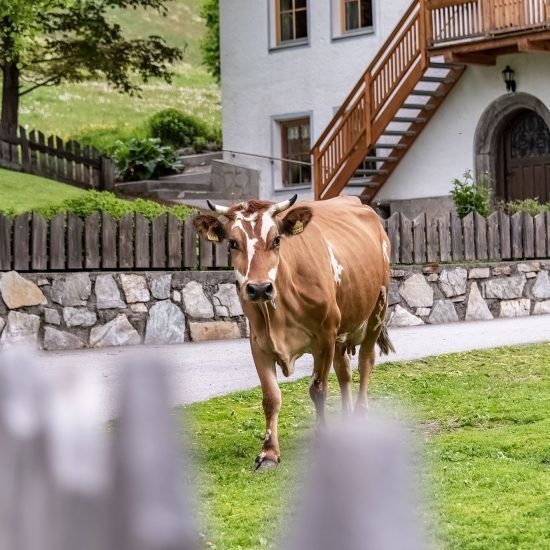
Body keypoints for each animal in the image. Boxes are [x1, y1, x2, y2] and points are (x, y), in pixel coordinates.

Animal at [196, 194, 394, 470]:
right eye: (233, 242)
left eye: (277, 239)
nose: (259, 288)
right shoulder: (258, 342)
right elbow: (271, 397)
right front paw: (269, 453)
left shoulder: (325, 336)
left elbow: (318, 389)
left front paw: (322, 436)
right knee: (344, 371)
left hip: (377, 310)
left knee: (365, 362)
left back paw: (360, 416)